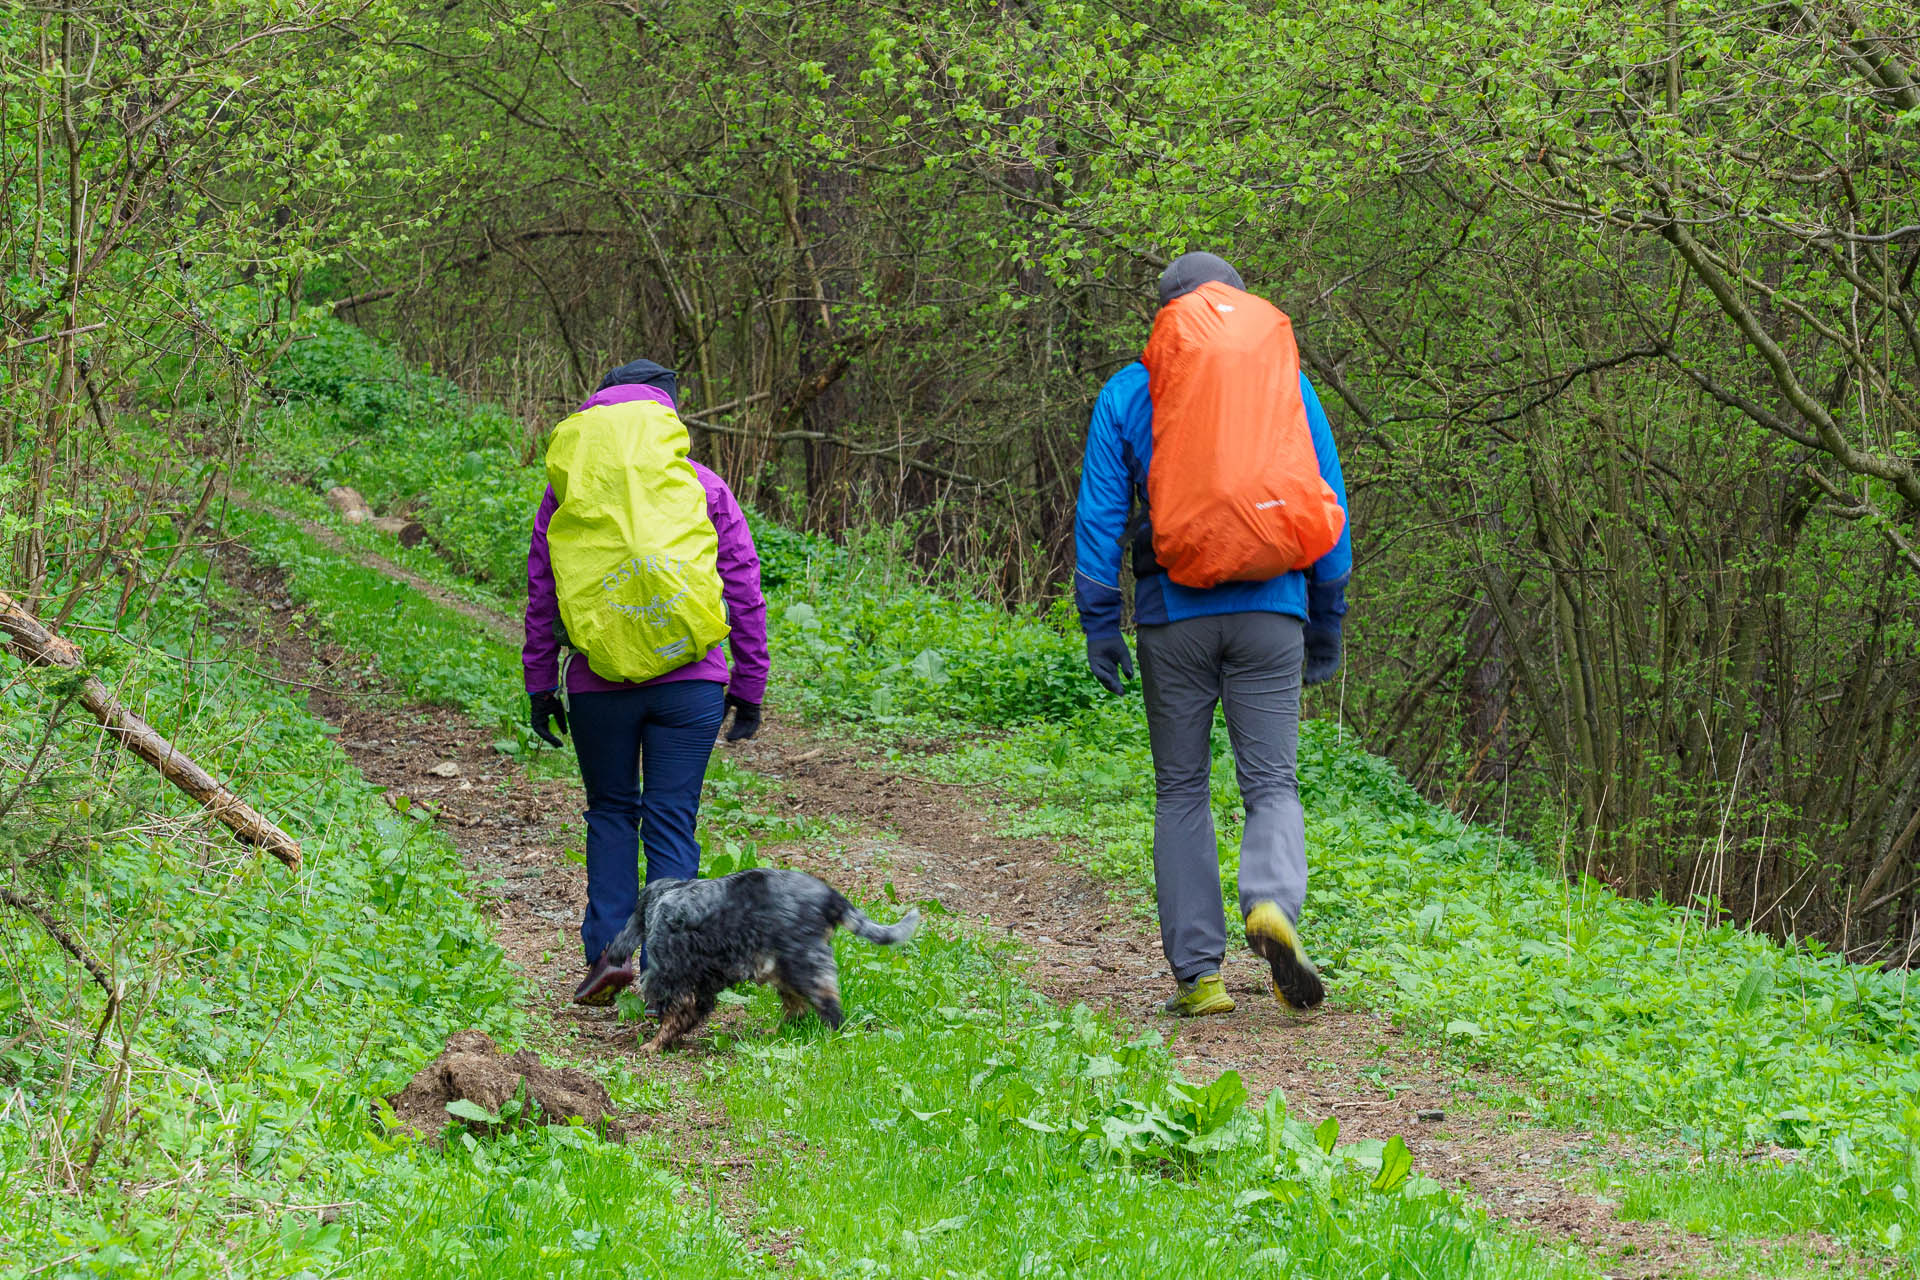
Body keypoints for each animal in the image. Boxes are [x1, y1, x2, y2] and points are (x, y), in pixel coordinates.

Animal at [564, 867, 917, 1059]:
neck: (664, 898)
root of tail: (831, 898)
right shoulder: (700, 984)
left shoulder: (673, 976)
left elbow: (675, 1016)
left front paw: (654, 1045)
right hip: (783, 968)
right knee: (797, 1008)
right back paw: (775, 1033)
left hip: (804, 964)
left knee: (830, 1009)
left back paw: (832, 1037)